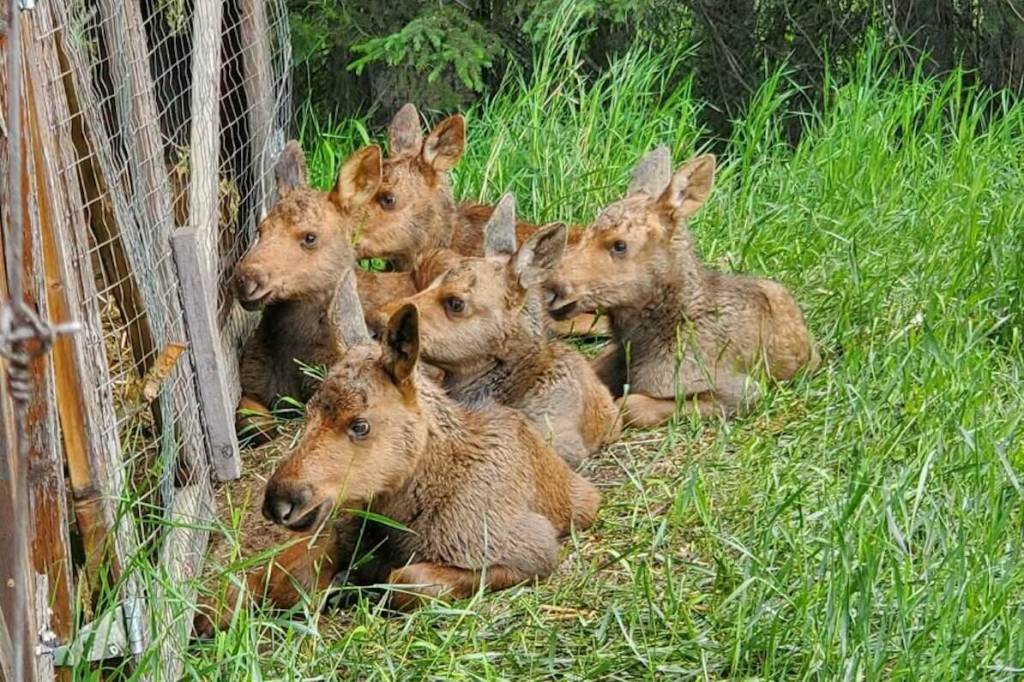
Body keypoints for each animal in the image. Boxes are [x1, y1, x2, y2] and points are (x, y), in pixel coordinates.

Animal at [194, 271, 600, 635]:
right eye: (308, 413)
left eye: (359, 425)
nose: (279, 501)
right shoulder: (337, 529)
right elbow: (280, 577)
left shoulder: (529, 554)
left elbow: (408, 580)